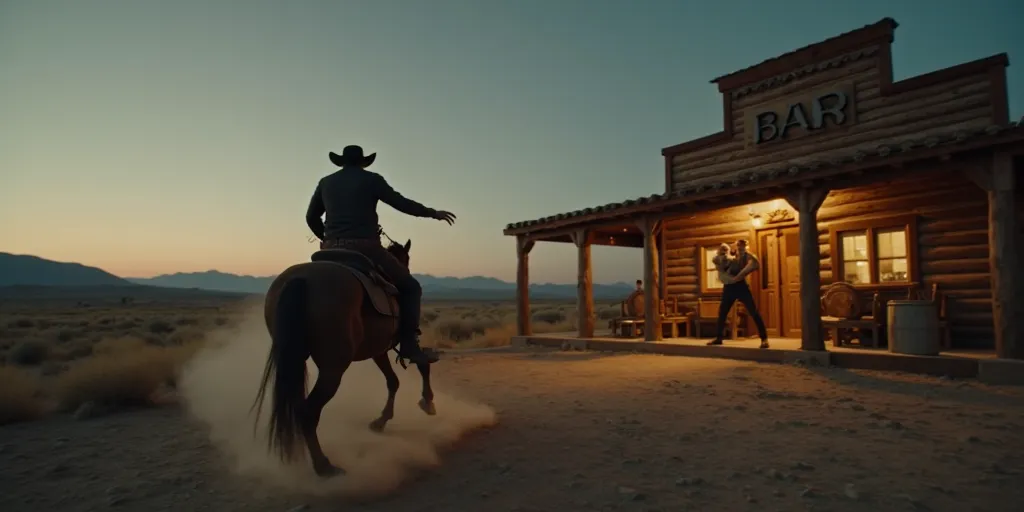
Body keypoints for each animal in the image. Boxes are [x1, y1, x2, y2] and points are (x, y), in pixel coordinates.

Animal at [254, 238, 436, 475]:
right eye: (406, 259)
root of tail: (300, 280)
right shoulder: (400, 342)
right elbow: (421, 363)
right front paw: (428, 401)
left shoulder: (378, 350)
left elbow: (393, 381)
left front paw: (380, 421)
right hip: (333, 368)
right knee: (309, 411)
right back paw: (323, 465)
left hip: (294, 360)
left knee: (298, 407)